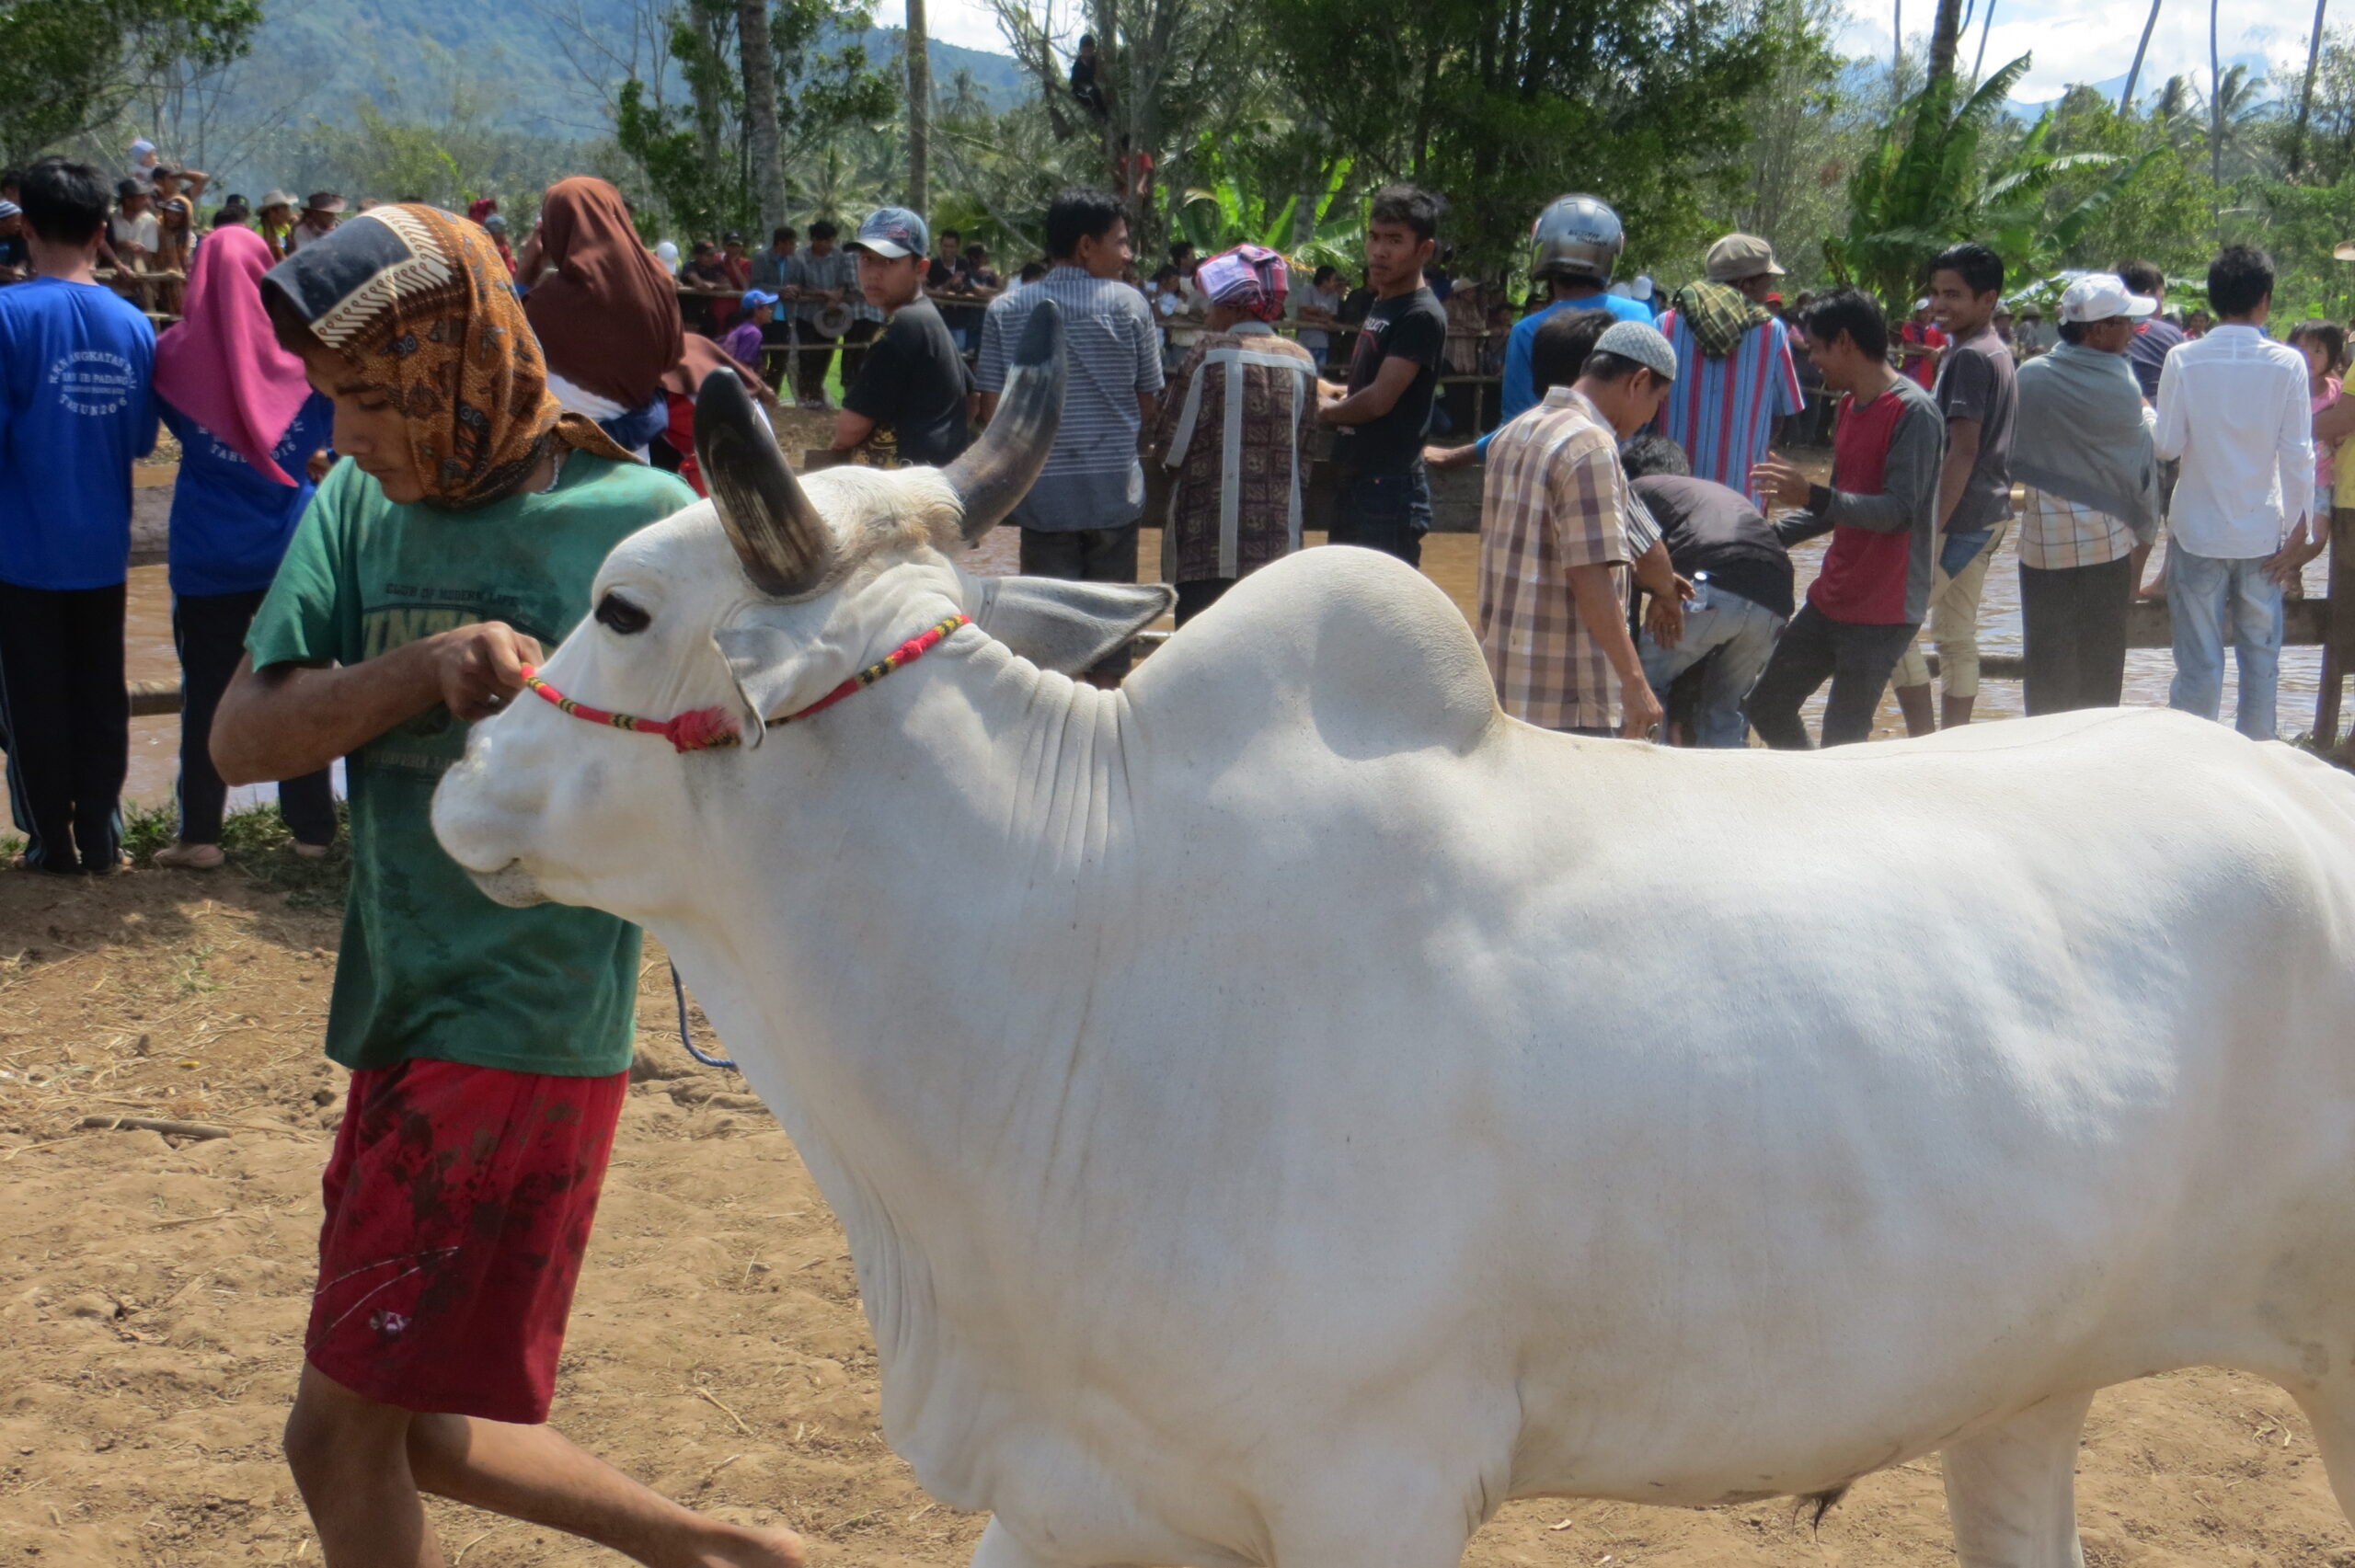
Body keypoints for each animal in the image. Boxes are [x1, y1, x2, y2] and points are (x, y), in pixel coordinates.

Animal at [433, 305, 2355, 1562]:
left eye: (623, 607)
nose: (468, 772)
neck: (1067, 944)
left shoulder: (1377, 1485)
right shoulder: (1080, 1492)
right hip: (2023, 1396)